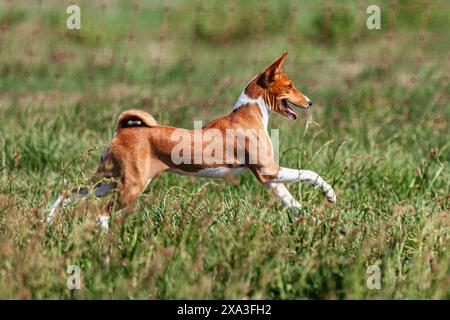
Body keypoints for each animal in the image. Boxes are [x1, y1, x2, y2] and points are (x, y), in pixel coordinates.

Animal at [50, 51, 338, 229]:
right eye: (290, 85)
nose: (310, 101)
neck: (250, 113)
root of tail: (123, 130)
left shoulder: (269, 179)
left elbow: (295, 205)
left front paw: (318, 224)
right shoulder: (268, 171)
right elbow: (310, 174)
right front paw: (330, 194)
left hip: (108, 179)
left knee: (68, 193)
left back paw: (47, 221)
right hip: (130, 186)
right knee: (101, 212)